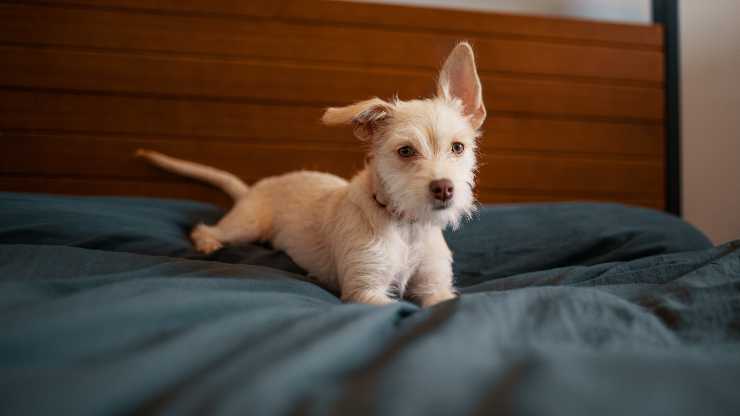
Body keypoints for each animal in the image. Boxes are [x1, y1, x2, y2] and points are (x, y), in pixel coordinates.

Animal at [137, 42, 486, 308]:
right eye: (406, 151)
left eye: (458, 147)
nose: (444, 189)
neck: (407, 227)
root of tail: (254, 188)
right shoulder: (365, 291)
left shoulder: (436, 288)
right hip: (246, 226)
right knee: (205, 228)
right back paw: (208, 243)